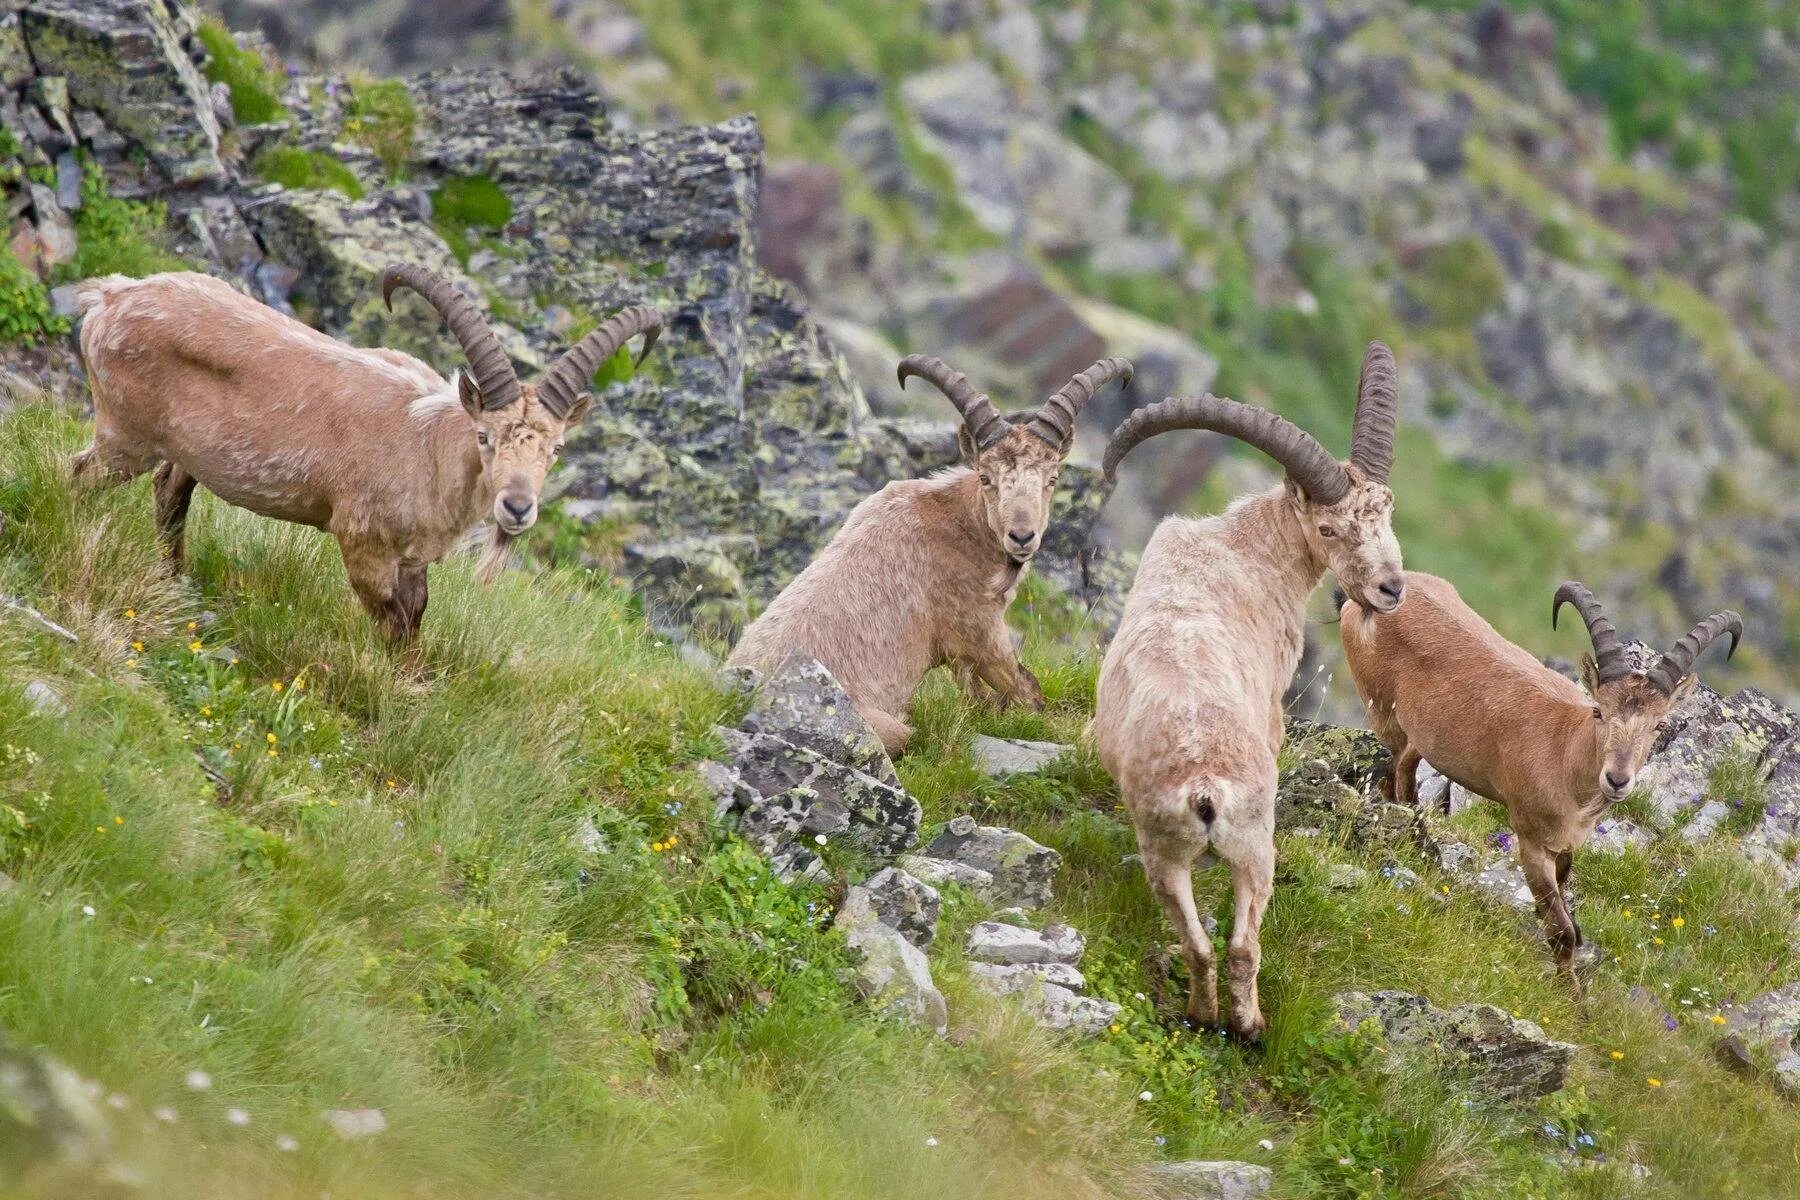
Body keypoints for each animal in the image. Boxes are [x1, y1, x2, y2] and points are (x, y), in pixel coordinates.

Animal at [72, 271, 662, 644]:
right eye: (484, 436)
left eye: (557, 447)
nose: (516, 508)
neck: (428, 450)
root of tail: (109, 297)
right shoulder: (363, 543)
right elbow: (391, 622)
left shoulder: (414, 560)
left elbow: (417, 617)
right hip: (125, 434)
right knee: (82, 475)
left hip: (181, 451)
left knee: (170, 490)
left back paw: (174, 580)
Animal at [727, 352, 1123, 755]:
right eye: (985, 477)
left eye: (1052, 478)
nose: (1022, 537)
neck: (955, 524)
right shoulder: (980, 631)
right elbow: (1027, 692)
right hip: (886, 727)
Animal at [1087, 341, 1411, 1036]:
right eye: (1328, 529)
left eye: (1387, 510)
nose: (1391, 589)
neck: (1241, 548)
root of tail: (1205, 787)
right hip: (1256, 847)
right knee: (1242, 945)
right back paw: (1251, 1025)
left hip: (1167, 855)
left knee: (1203, 945)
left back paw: (1202, 1015)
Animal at [1346, 575, 1735, 985]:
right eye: (1599, 710)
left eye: (1659, 724)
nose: (1616, 779)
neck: (1563, 752)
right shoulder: (1531, 839)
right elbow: (1562, 931)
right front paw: (1571, 993)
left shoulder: (1566, 844)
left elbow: (1563, 895)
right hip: (1382, 714)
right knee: (1391, 777)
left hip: (1418, 739)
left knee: (1404, 774)